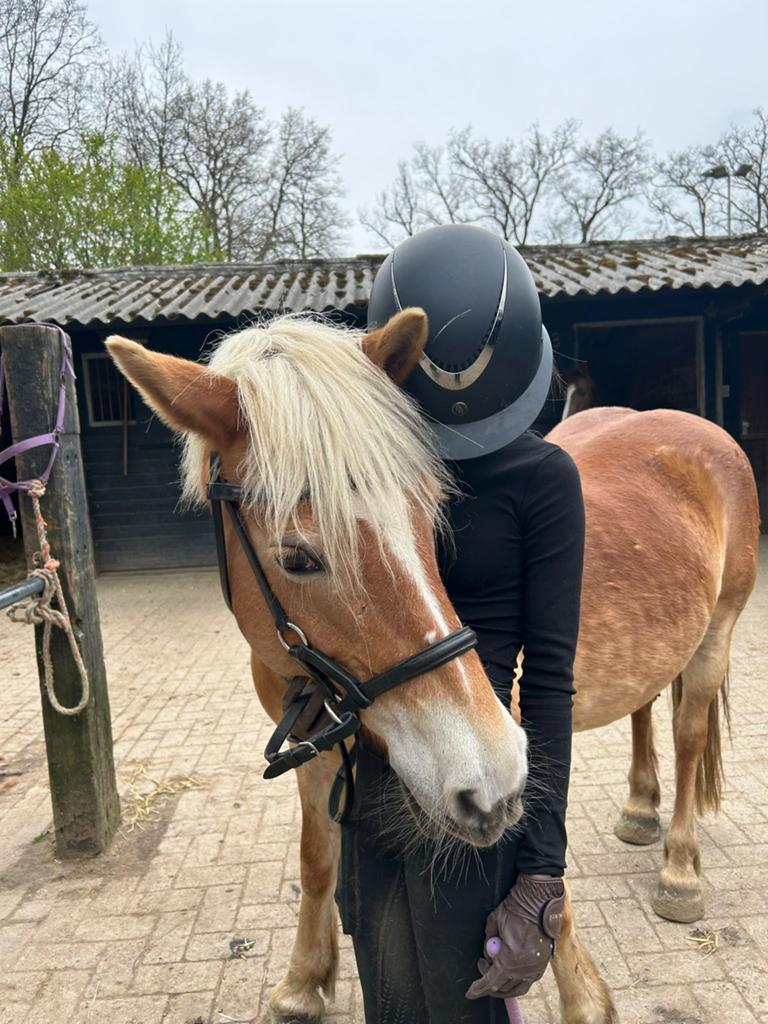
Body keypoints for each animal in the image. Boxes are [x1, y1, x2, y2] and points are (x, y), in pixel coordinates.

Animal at [107, 310, 616, 1024]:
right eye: (297, 558)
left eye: (431, 514)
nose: (493, 780)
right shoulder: (312, 741)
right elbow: (317, 858)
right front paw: (304, 979)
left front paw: (573, 983)